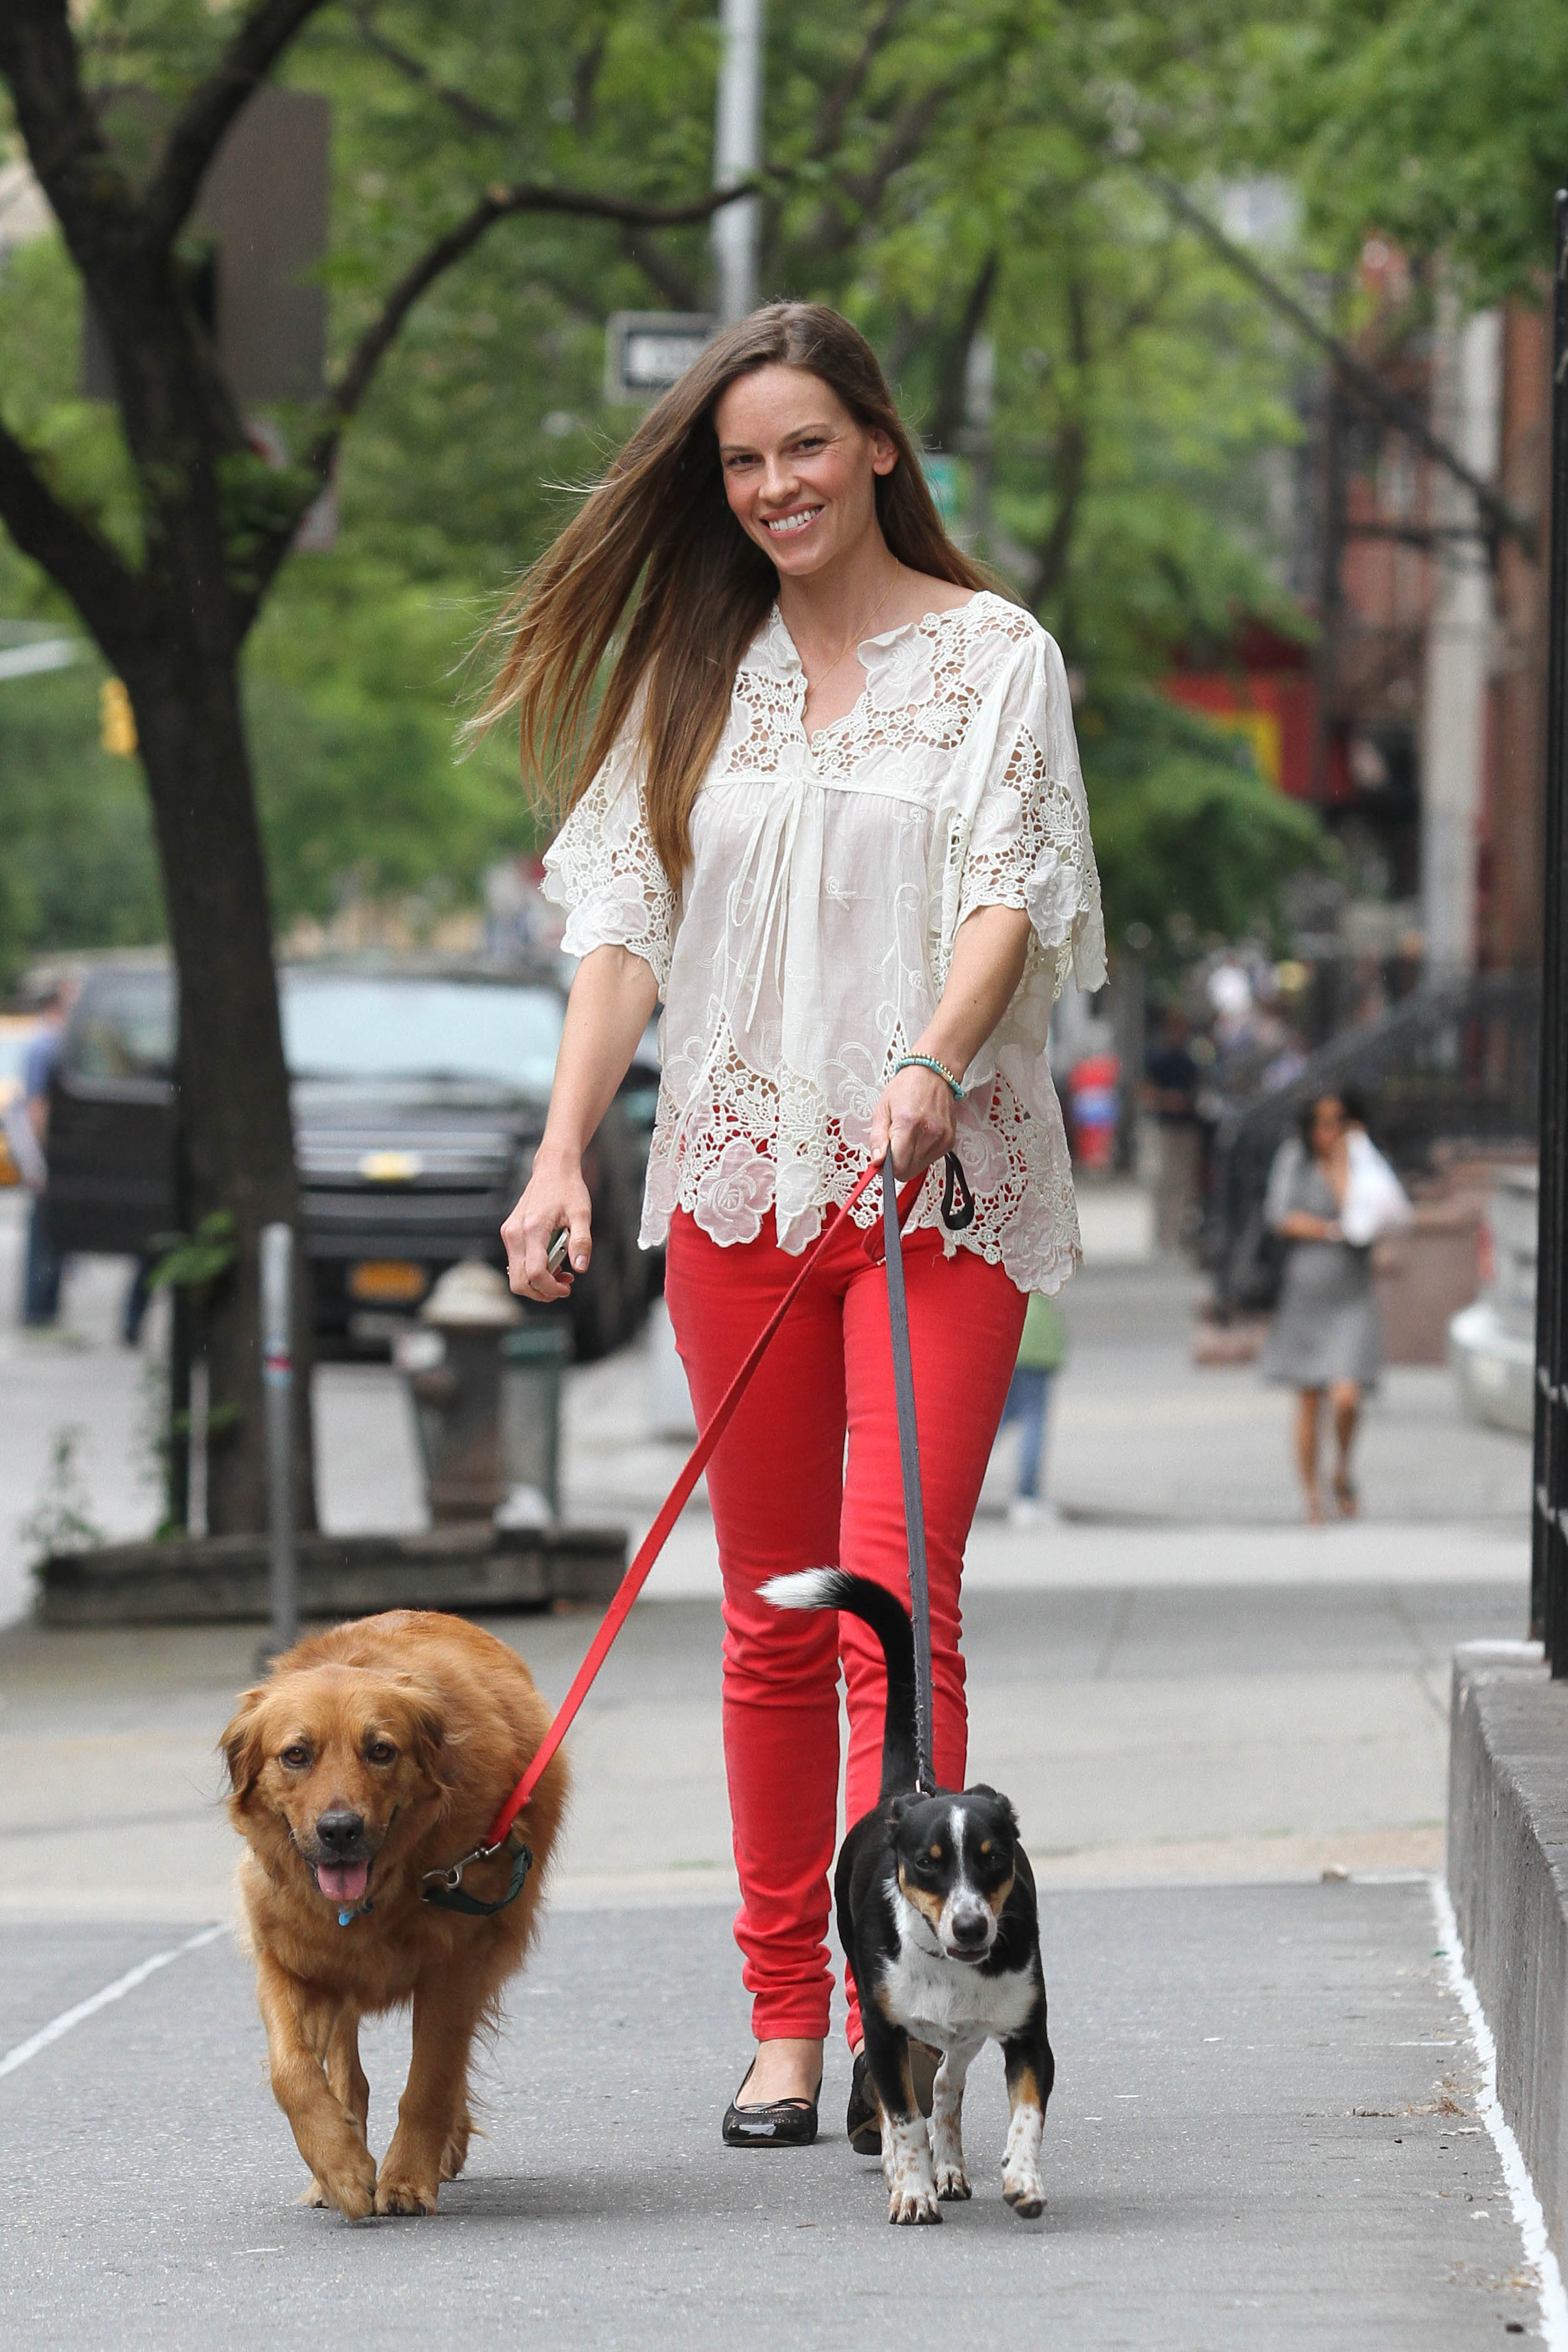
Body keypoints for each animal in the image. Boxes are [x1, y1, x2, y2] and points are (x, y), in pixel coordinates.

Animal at [221, 1609, 567, 2220]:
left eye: (380, 1750)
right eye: (296, 1754)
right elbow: (292, 2073)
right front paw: (339, 2166)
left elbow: (431, 2078)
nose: (340, 1830)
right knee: (346, 2074)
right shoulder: (290, 1962)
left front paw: (407, 2178)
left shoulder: (456, 1966)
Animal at [763, 1569, 1053, 2225]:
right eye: (928, 1863)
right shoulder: (885, 2032)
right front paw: (914, 2190)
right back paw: (912, 2175)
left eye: (994, 1858)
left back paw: (951, 2168)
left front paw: (1022, 2180)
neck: (947, 1964)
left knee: (945, 2088)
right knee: (915, 2106)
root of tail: (907, 1792)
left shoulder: (1029, 2038)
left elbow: (1024, 2116)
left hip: (971, 2032)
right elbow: (902, 2120)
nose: (971, 1928)